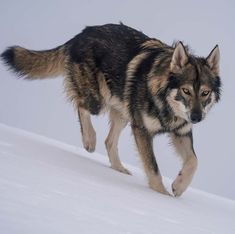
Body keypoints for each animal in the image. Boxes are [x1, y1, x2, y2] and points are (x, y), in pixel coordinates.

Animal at [0, 23, 220, 196]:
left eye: (205, 93)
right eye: (186, 90)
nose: (197, 117)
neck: (164, 101)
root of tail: (82, 33)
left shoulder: (181, 132)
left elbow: (194, 161)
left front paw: (179, 186)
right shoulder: (142, 130)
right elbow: (153, 168)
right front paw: (161, 195)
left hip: (122, 112)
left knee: (108, 141)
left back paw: (119, 169)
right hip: (98, 101)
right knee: (81, 105)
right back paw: (89, 140)